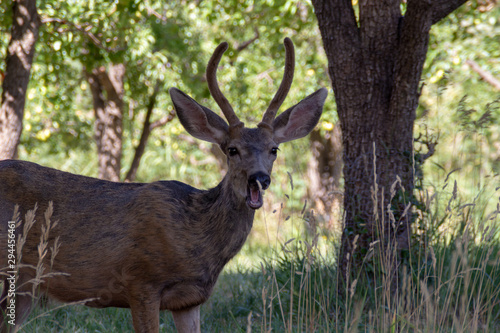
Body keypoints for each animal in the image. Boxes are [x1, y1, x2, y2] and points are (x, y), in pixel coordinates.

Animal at [0, 37, 328, 330]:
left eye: (274, 149)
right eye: (232, 149)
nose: (259, 178)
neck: (196, 238)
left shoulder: (190, 300)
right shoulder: (140, 280)